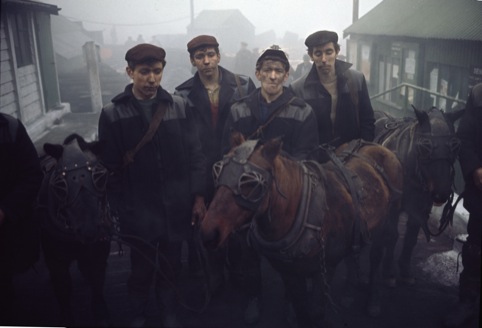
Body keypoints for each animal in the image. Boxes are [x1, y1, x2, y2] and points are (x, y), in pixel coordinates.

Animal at [36, 133, 112, 326]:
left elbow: (97, 274)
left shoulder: (99, 248)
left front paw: (100, 312)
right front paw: (67, 318)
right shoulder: (54, 256)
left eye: (101, 177)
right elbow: (62, 286)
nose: (89, 230)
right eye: (60, 186)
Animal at [199, 133, 402, 326]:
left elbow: (316, 312)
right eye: (218, 172)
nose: (209, 232)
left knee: (376, 257)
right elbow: (301, 310)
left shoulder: (326, 269)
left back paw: (373, 300)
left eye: (250, 182)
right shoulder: (289, 272)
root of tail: (375, 145)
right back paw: (348, 294)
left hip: (387, 223)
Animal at [372, 106, 464, 286]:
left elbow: (411, 237)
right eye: (424, 147)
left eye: (455, 146)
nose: (441, 193)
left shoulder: (421, 207)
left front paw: (405, 271)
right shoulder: (394, 206)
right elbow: (392, 235)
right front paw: (387, 273)